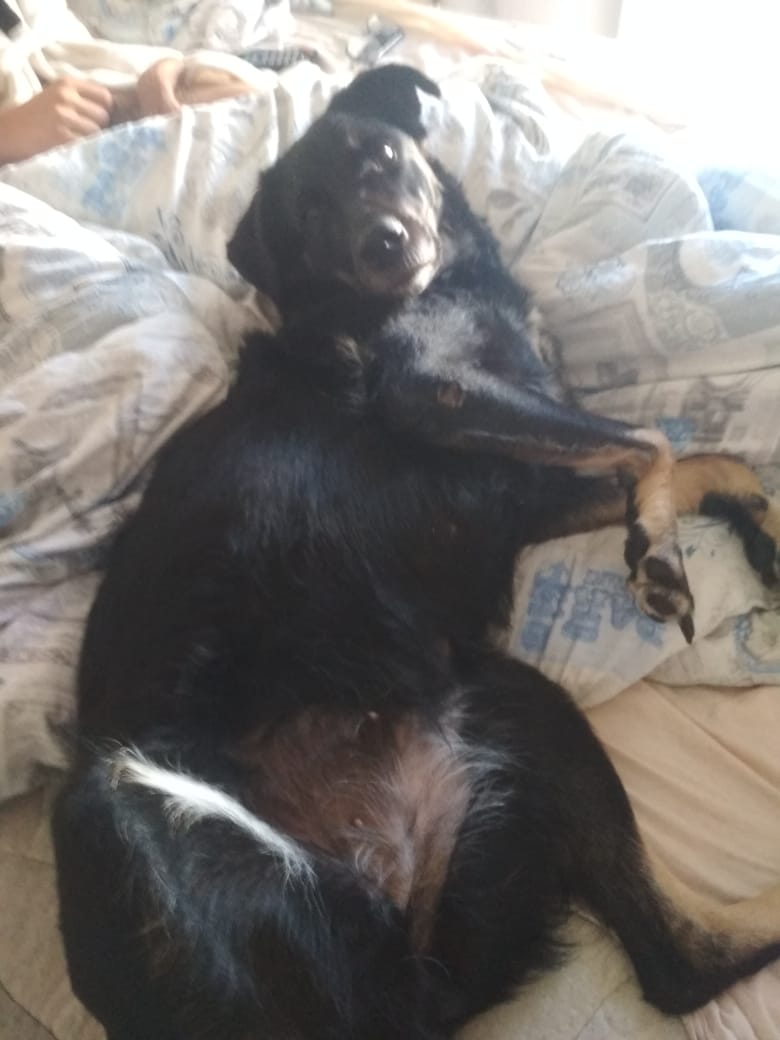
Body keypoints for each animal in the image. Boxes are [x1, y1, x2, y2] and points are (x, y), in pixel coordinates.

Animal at [53, 65, 780, 1040]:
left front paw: (742, 527)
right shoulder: (431, 390)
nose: (382, 242)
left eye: (381, 156)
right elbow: (651, 442)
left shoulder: (518, 492)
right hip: (122, 803)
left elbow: (699, 460)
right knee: (681, 967)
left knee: (670, 954)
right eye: (307, 214)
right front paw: (661, 554)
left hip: (514, 729)